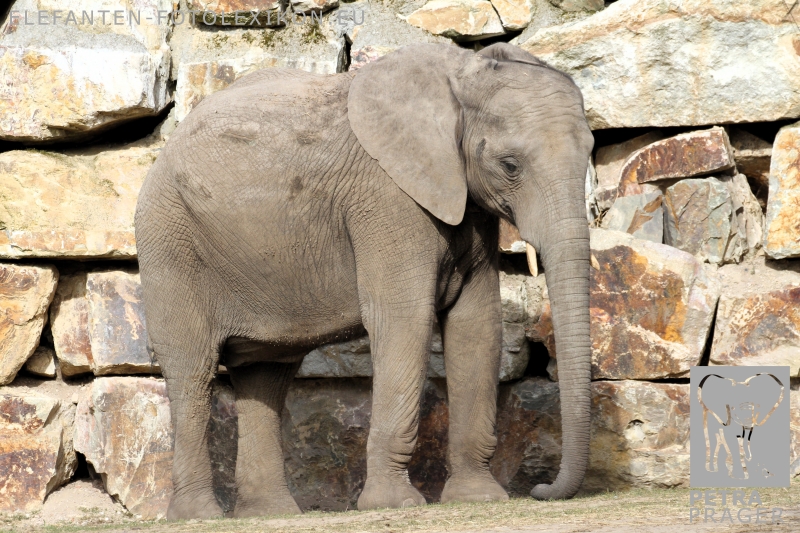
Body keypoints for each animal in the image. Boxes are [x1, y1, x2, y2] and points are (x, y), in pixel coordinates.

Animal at [134, 42, 594, 520]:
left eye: (590, 154)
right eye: (510, 165)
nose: (541, 488)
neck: (459, 73)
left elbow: (476, 325)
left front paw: (479, 497)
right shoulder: (387, 198)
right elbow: (403, 320)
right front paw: (396, 503)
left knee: (265, 372)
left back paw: (272, 513)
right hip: (170, 242)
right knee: (193, 370)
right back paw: (199, 514)